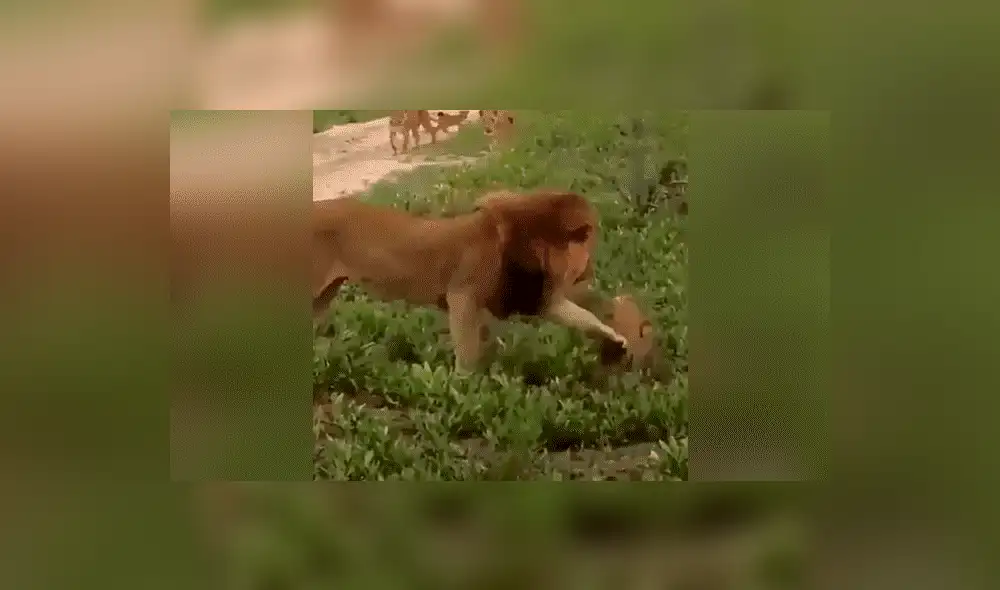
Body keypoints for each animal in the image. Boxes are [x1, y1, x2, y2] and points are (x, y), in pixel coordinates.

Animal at [313, 190, 629, 372]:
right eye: (588, 240)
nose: (590, 270)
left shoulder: (536, 298)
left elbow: (583, 317)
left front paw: (617, 339)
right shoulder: (462, 296)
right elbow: (467, 349)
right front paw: (465, 385)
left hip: (321, 297)